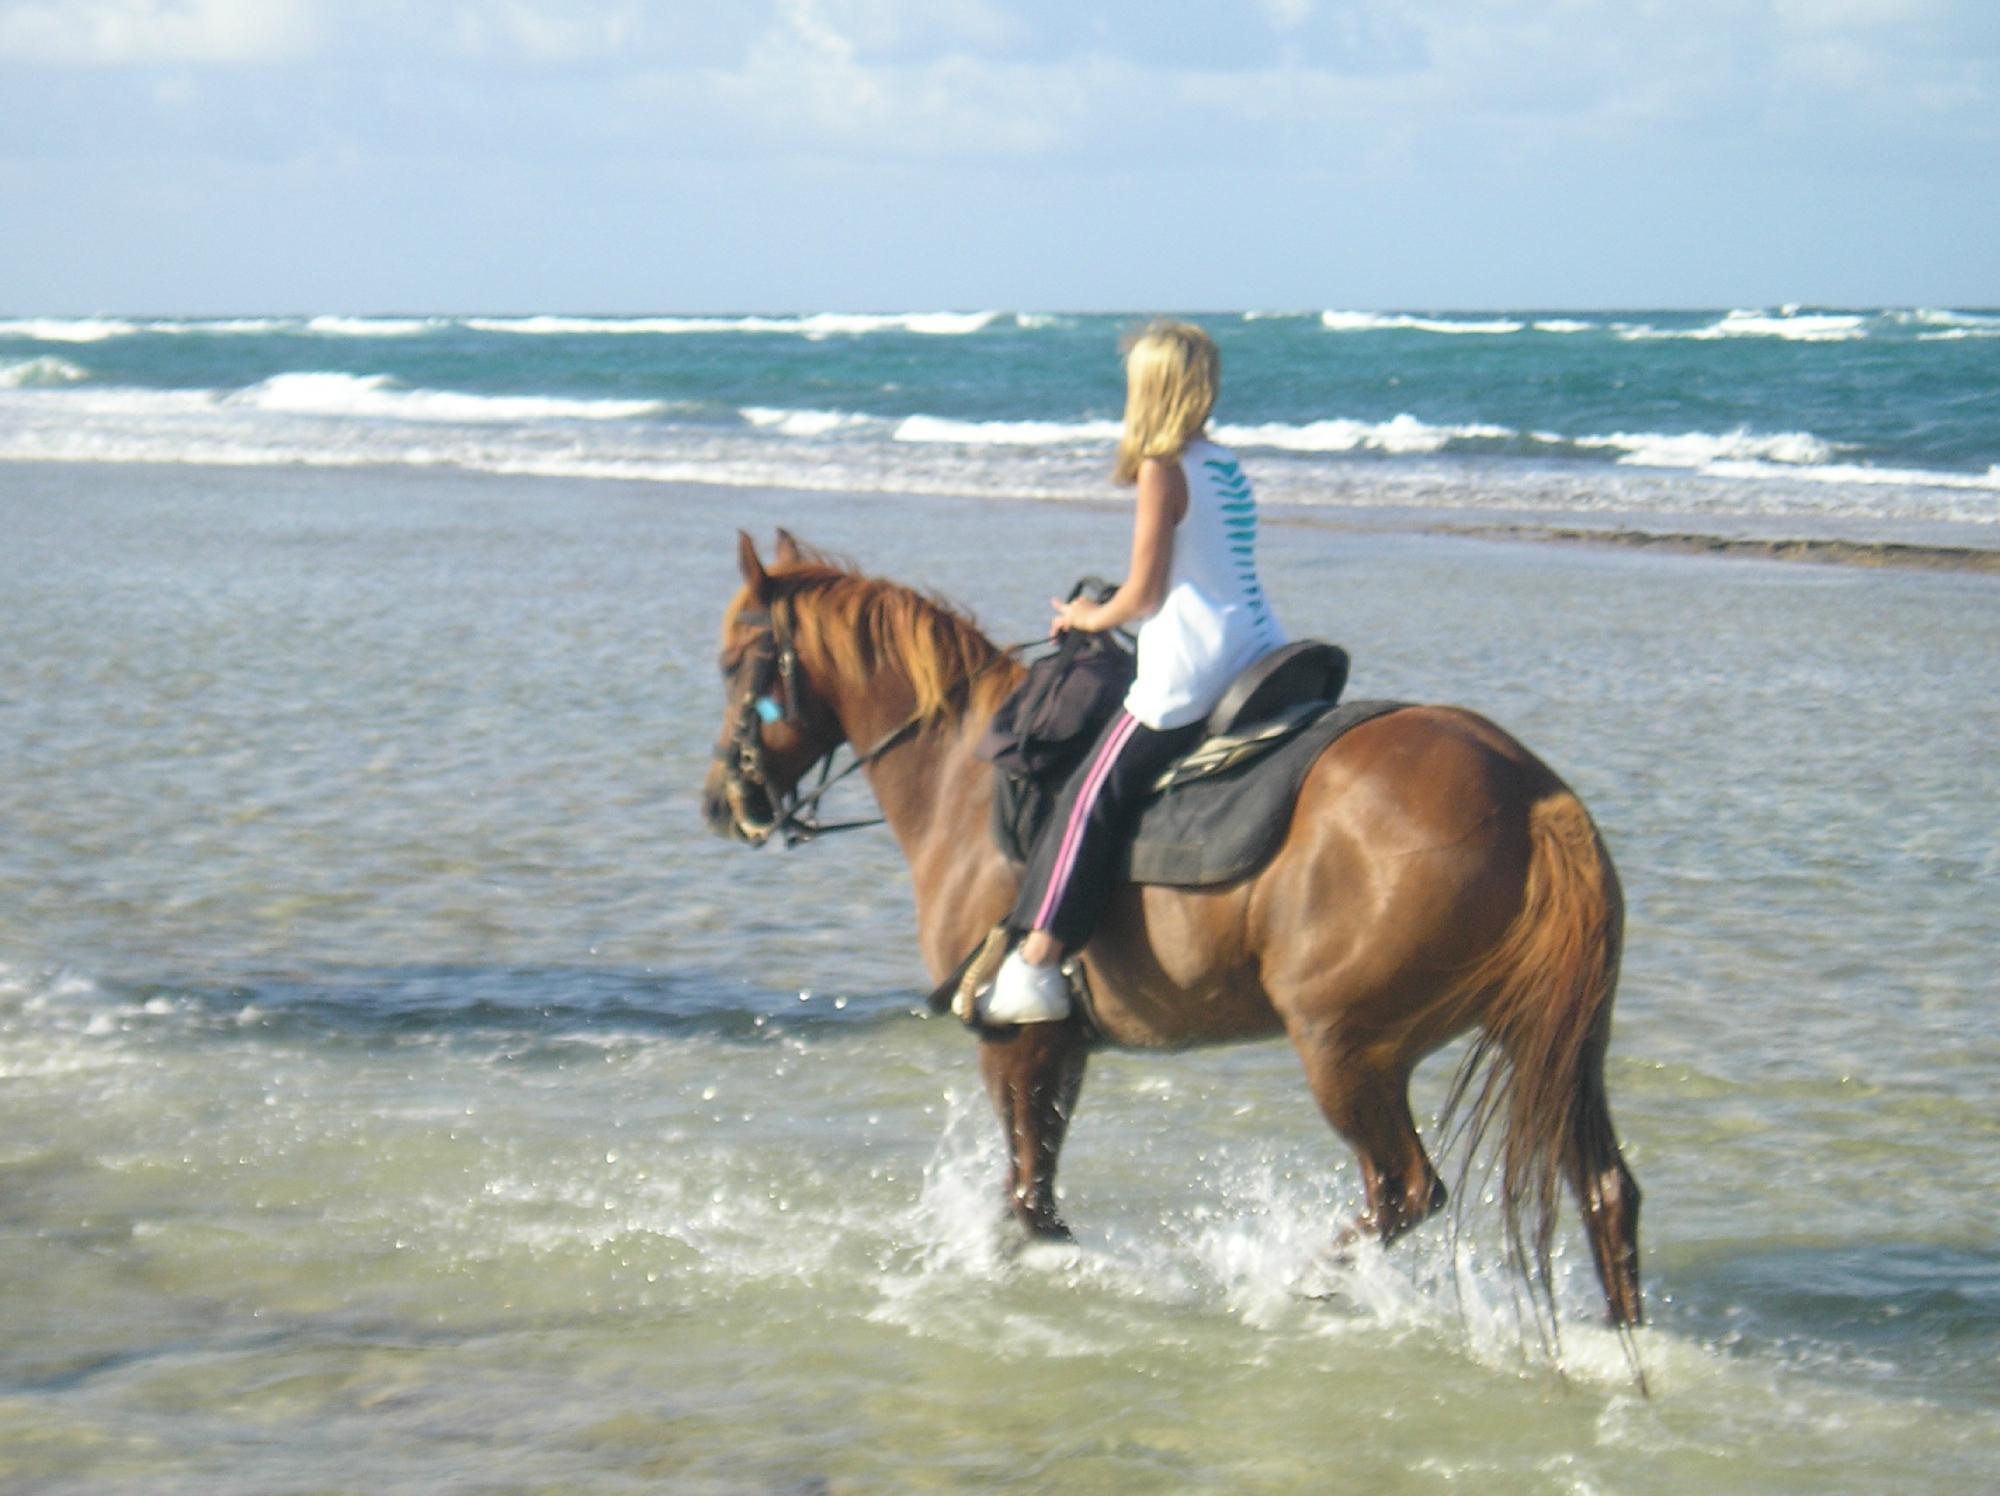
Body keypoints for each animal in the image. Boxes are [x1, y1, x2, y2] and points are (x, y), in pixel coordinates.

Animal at [704, 532, 1640, 1328]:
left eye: (732, 664)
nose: (723, 802)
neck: (964, 779)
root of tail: (1532, 798)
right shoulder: (1060, 1043)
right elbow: (1036, 1190)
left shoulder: (1016, 1038)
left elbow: (1027, 1199)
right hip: (1550, 1043)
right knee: (1604, 1191)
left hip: (1348, 1048)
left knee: (1405, 1191)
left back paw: (1295, 1281)